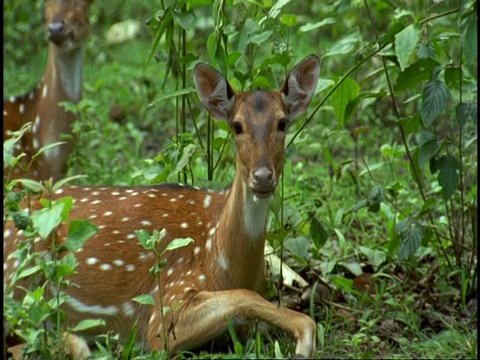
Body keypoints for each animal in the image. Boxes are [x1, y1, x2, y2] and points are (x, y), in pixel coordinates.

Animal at [3, 54, 320, 358]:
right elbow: (245, 297)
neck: (223, 259)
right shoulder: (164, 307)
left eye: (282, 123)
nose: (263, 177)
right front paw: (303, 343)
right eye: (237, 126)